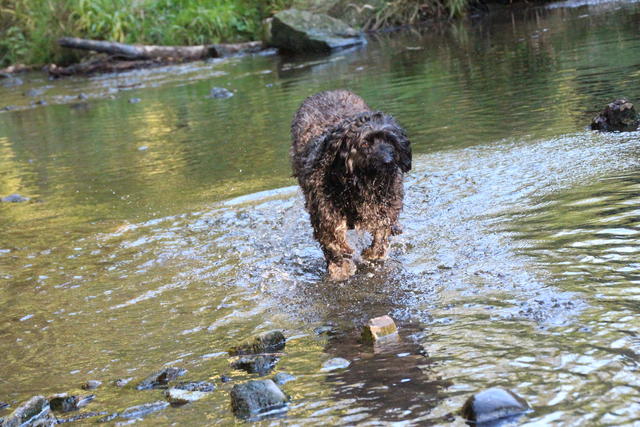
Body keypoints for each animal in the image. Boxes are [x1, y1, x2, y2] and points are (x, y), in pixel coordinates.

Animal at [290, 90, 410, 280]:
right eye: (365, 143)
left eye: (390, 140)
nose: (388, 161)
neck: (359, 184)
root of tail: (327, 91)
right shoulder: (323, 209)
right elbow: (332, 238)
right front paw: (341, 267)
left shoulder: (387, 203)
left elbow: (382, 231)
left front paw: (373, 254)